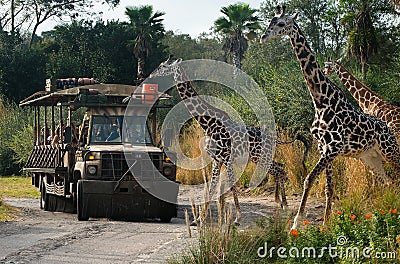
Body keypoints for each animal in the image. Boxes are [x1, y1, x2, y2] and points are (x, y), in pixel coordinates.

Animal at [150, 57, 288, 225]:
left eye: (163, 66)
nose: (151, 74)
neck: (208, 124)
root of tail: (274, 138)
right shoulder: (217, 160)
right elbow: (212, 187)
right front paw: (199, 219)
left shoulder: (227, 159)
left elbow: (232, 187)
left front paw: (237, 218)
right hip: (260, 157)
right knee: (280, 168)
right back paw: (280, 203)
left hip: (260, 156)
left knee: (280, 169)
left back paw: (284, 204)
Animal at [260, 5, 400, 230]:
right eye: (269, 23)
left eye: (281, 23)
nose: (263, 37)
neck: (320, 99)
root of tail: (387, 128)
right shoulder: (323, 148)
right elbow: (329, 188)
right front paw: (326, 225)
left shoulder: (332, 148)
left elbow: (309, 179)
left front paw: (296, 224)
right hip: (370, 157)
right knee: (388, 181)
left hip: (389, 150)